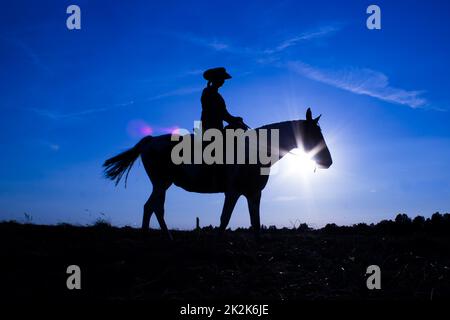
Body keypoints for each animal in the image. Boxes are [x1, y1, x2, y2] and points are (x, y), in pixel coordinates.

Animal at [103, 107, 332, 238]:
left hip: (163, 185)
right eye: (315, 134)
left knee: (155, 208)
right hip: (161, 183)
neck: (256, 150)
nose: (328, 162)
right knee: (151, 207)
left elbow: (256, 223)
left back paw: (166, 239)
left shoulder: (254, 194)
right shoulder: (232, 192)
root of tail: (150, 141)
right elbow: (224, 219)